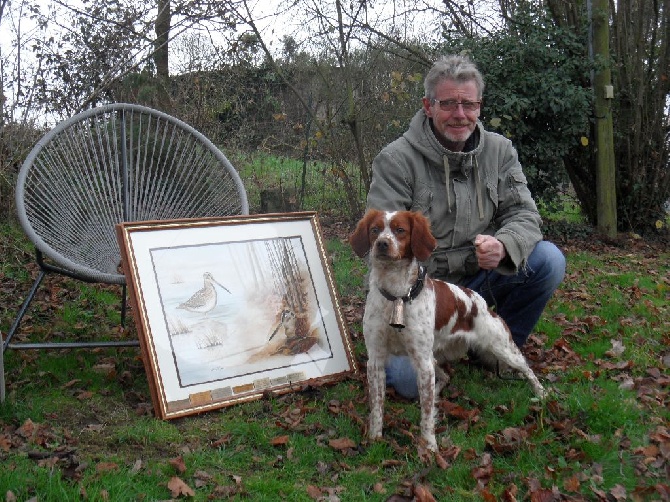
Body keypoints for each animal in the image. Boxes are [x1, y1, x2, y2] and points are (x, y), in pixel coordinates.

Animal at [352, 208, 544, 452]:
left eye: (400, 230)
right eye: (375, 230)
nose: (382, 244)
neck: (396, 296)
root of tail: (480, 301)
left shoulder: (422, 361)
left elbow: (425, 415)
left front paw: (429, 447)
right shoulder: (376, 359)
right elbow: (377, 404)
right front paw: (375, 438)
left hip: (502, 347)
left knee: (527, 369)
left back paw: (542, 393)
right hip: (435, 358)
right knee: (444, 378)